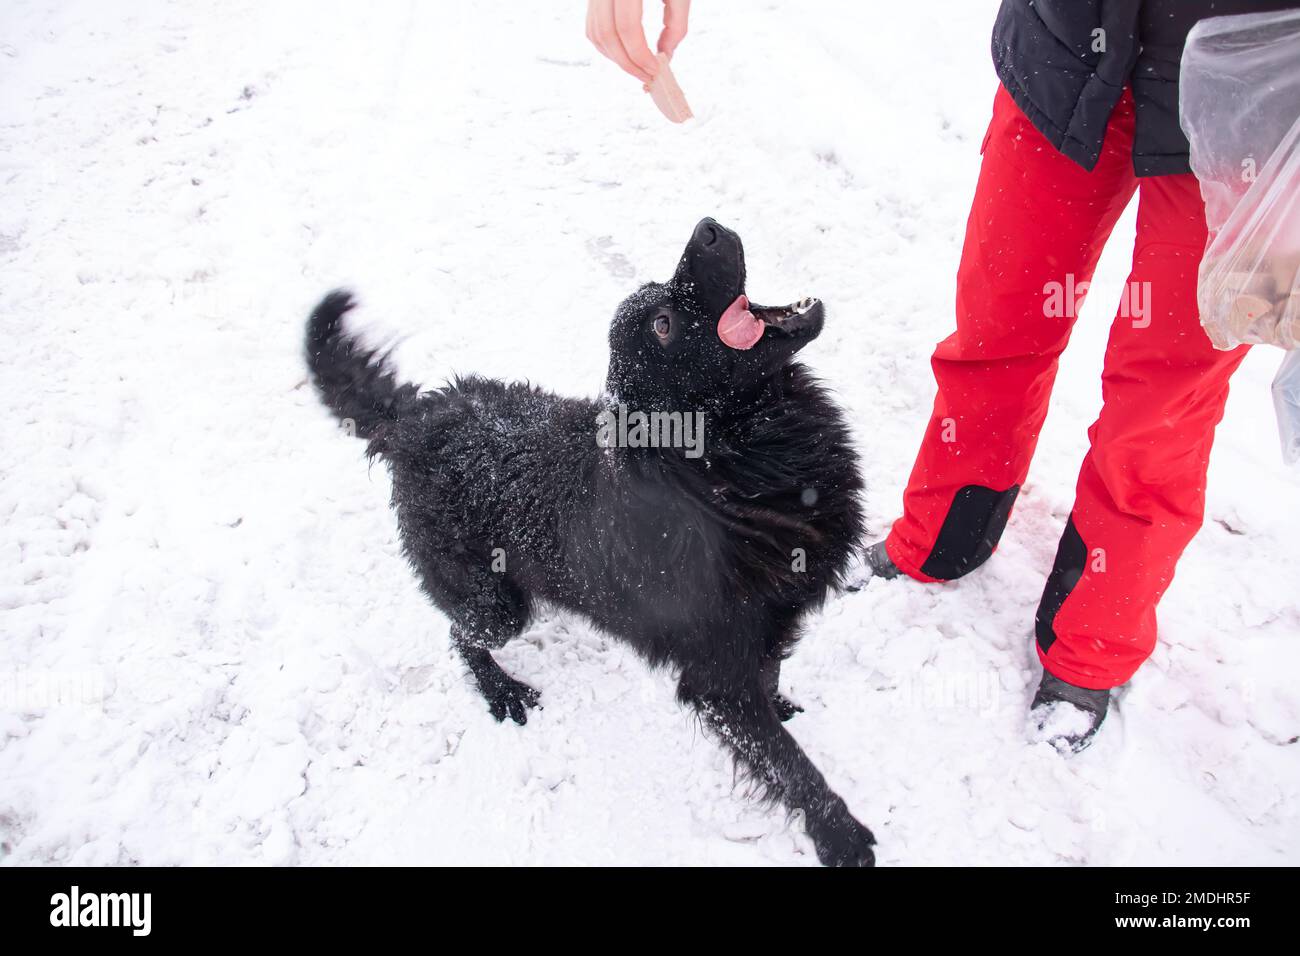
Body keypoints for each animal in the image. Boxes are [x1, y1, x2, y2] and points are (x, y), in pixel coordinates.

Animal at [304, 221, 873, 863]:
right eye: (663, 325)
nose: (707, 227)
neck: (727, 468)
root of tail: (416, 417)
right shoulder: (716, 677)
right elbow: (785, 764)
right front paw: (840, 834)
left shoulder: (772, 621)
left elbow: (771, 675)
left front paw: (779, 703)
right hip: (495, 604)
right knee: (460, 635)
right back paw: (501, 692)